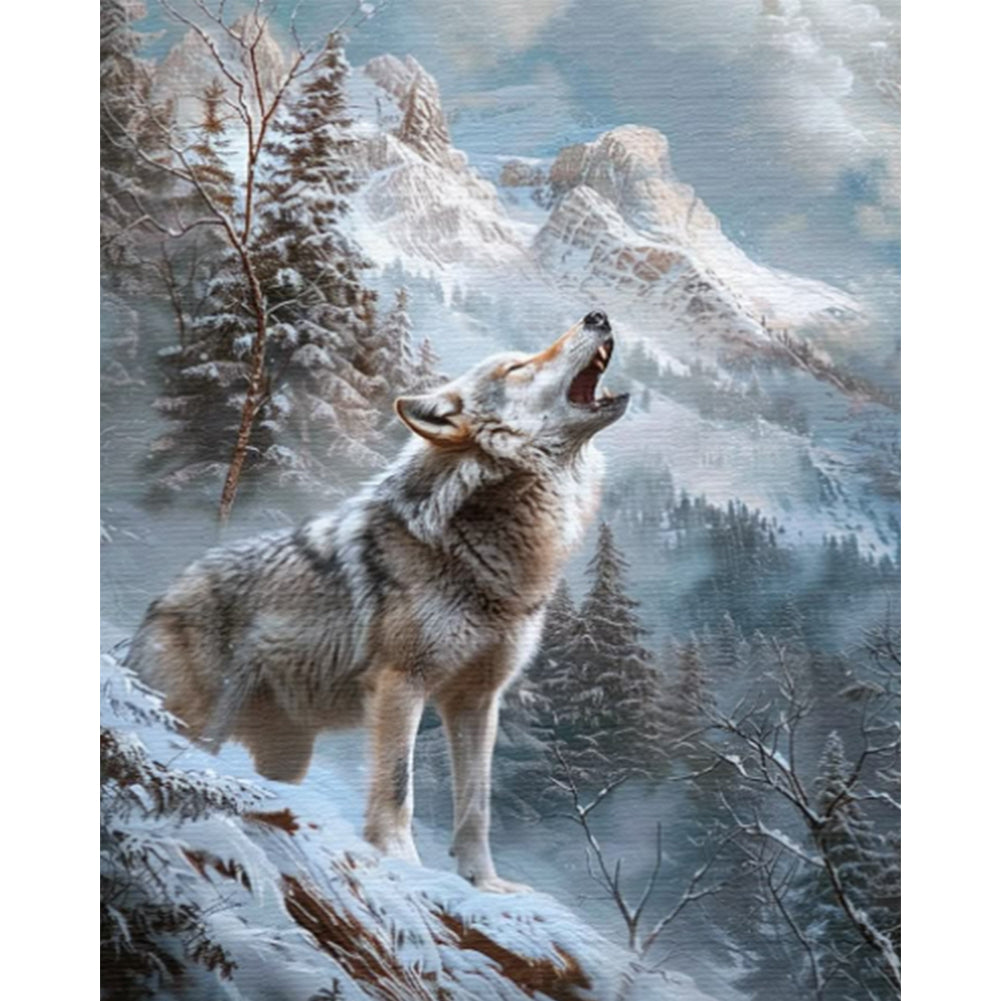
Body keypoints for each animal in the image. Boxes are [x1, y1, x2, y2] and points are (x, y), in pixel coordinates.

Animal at [128, 310, 627, 892]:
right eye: (519, 367)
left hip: (287, 756)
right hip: (199, 725)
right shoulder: (400, 683)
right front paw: (403, 863)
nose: (598, 314)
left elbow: (475, 806)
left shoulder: (478, 701)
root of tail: (159, 600)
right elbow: (397, 787)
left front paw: (484, 884)